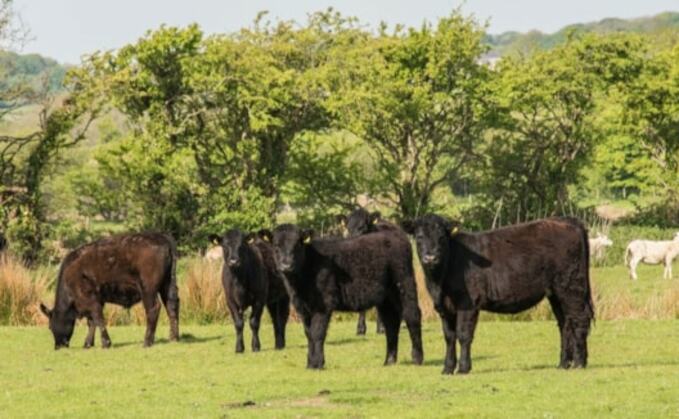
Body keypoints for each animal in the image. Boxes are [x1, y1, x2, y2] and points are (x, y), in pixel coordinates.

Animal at [38, 233, 179, 352]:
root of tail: (161, 238)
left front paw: (106, 343)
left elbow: (98, 318)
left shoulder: (90, 300)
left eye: (50, 326)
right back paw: (174, 338)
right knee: (172, 307)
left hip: (148, 290)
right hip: (168, 285)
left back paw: (147, 342)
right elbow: (92, 322)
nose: (58, 347)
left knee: (153, 308)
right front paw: (88, 344)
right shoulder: (97, 300)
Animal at [266, 225, 422, 370]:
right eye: (276, 246)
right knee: (391, 323)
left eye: (297, 245)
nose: (286, 265)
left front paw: (317, 363)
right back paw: (389, 361)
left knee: (412, 315)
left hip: (404, 283)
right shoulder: (303, 308)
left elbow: (317, 333)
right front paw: (310, 364)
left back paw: (417, 358)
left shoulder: (323, 304)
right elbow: (309, 334)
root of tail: (397, 234)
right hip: (386, 297)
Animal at [404, 217, 596, 374]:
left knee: (579, 319)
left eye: (442, 238)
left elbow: (463, 334)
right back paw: (563, 364)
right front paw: (447, 368)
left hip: (571, 286)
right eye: (419, 237)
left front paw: (464, 368)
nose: (430, 257)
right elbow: (449, 336)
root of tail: (566, 221)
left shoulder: (468, 304)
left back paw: (580, 363)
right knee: (565, 324)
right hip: (555, 292)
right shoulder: (444, 307)